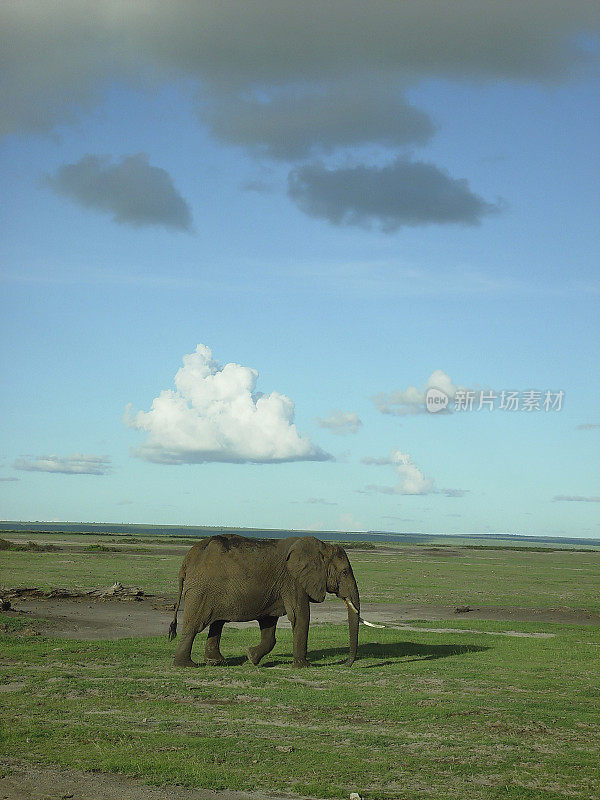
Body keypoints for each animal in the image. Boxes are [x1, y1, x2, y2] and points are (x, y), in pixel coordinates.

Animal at [169, 536, 366, 664]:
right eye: (345, 572)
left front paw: (251, 656)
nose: (347, 663)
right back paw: (186, 664)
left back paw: (217, 662)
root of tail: (187, 558)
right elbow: (300, 616)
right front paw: (304, 666)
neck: (322, 548)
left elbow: (269, 624)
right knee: (195, 625)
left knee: (217, 623)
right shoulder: (293, 580)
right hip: (201, 589)